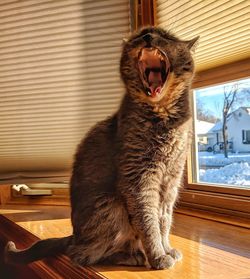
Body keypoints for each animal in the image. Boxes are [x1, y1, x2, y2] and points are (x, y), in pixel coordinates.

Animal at [3, 26, 198, 272]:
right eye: (138, 36)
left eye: (166, 37)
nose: (147, 37)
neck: (165, 119)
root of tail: (74, 237)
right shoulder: (139, 179)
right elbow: (148, 221)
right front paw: (158, 256)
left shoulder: (171, 180)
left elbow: (164, 220)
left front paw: (167, 249)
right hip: (111, 205)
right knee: (83, 255)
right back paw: (132, 256)